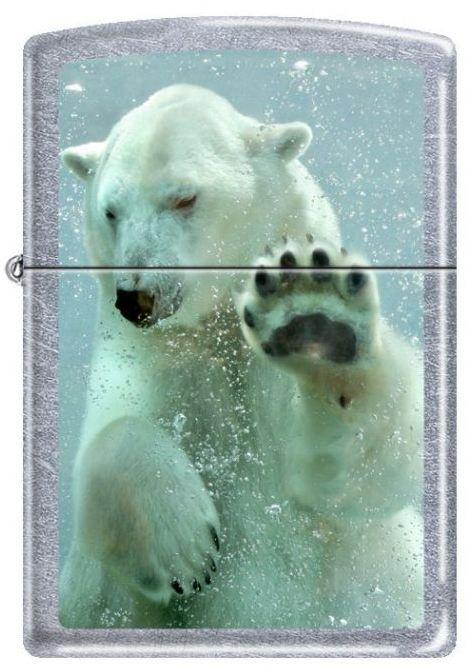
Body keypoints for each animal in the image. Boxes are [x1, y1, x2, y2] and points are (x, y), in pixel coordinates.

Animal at [59, 84, 423, 629]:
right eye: (110, 210)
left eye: (185, 198)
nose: (136, 297)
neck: (216, 332)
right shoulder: (147, 362)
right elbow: (99, 582)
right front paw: (186, 547)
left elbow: (353, 474)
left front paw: (318, 321)